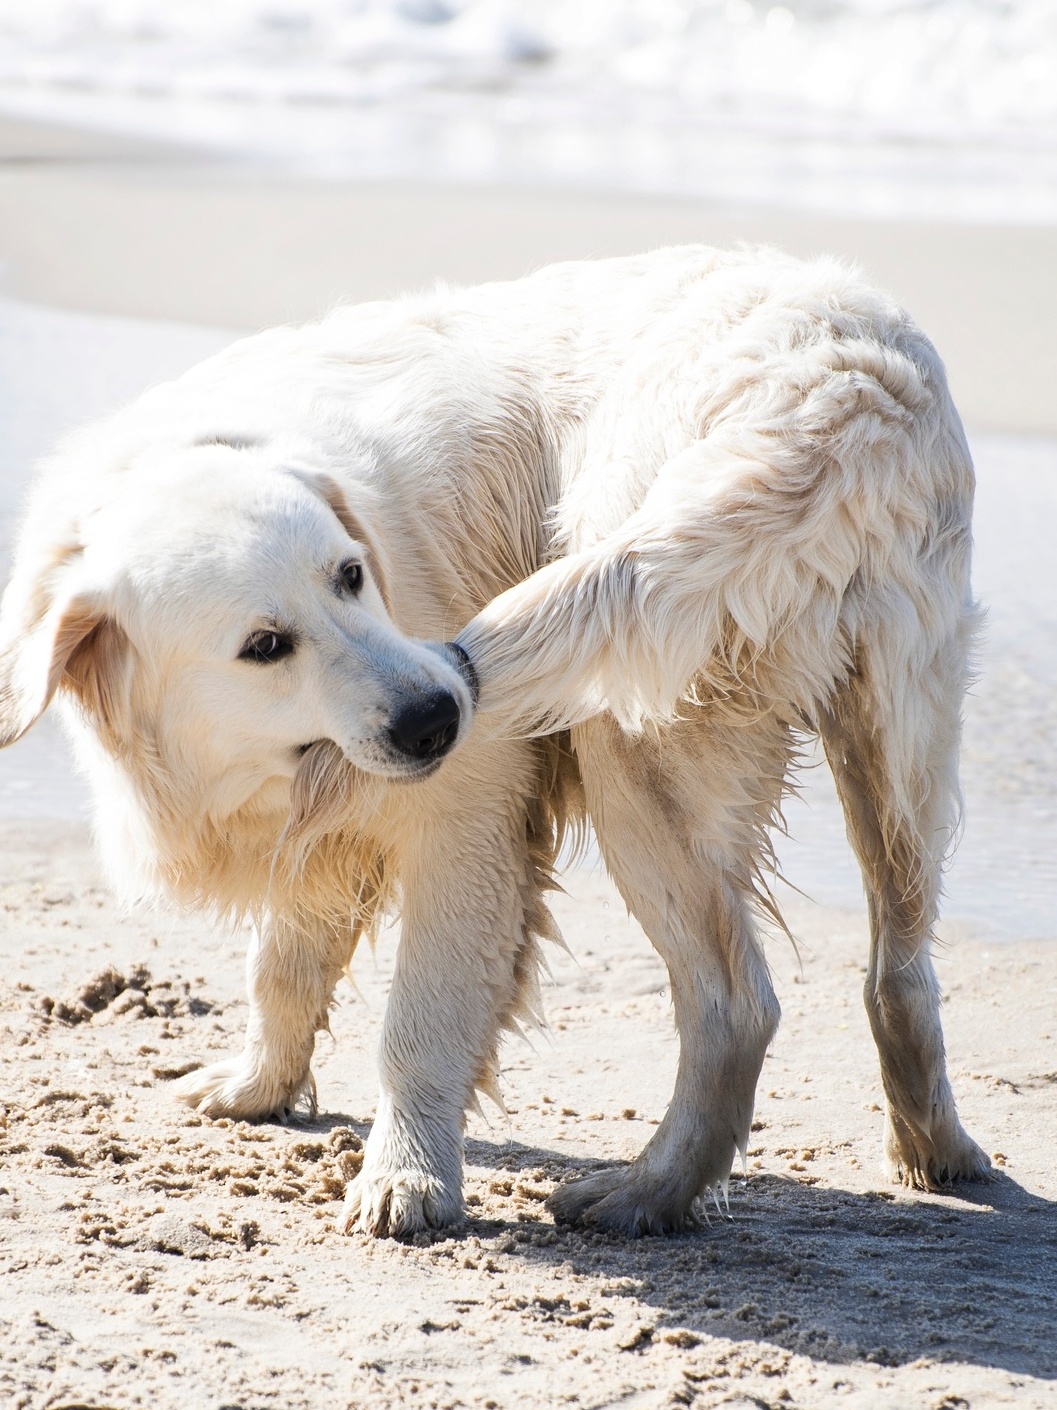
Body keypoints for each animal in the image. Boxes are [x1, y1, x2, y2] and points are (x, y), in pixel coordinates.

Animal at [0, 250, 992, 1235]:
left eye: (350, 575)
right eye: (265, 645)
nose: (438, 714)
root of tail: (839, 390)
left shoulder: (465, 817)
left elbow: (419, 1022)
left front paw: (405, 1178)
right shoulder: (317, 824)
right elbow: (281, 967)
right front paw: (256, 1088)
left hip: (634, 738)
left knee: (735, 1005)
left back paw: (643, 1193)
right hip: (896, 741)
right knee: (899, 972)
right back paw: (935, 1151)